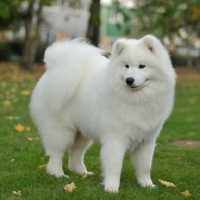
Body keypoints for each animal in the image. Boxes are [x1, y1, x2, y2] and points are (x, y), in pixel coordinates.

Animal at [29, 35, 175, 193]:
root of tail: (53, 68)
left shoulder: (146, 140)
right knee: (56, 153)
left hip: (82, 132)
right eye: (126, 66)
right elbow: (115, 165)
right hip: (61, 130)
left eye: (142, 66)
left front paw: (147, 185)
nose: (129, 80)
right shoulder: (115, 138)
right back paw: (57, 174)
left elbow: (145, 166)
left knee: (76, 153)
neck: (136, 99)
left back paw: (81, 172)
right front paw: (111, 188)